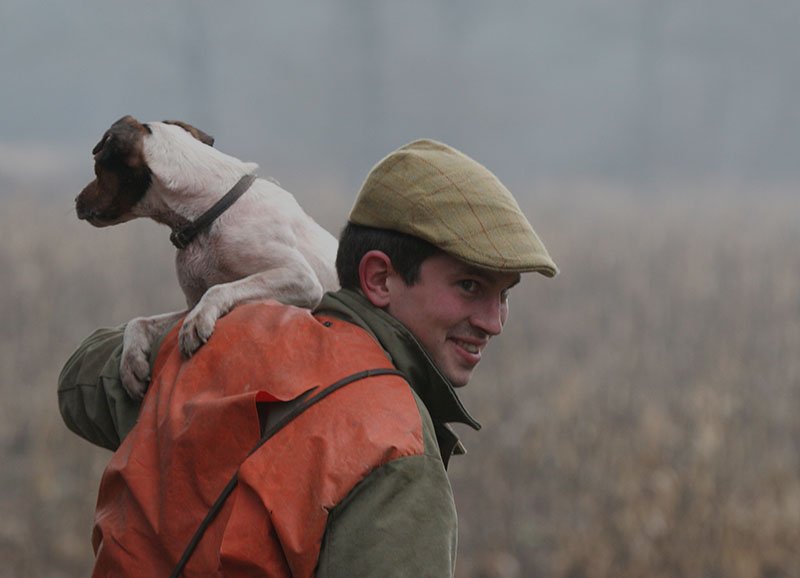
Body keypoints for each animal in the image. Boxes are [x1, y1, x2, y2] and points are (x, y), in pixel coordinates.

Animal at [73, 115, 340, 398]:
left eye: (98, 169)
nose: (76, 199)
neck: (207, 211)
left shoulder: (302, 279)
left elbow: (219, 288)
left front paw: (197, 322)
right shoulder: (191, 303)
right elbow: (140, 321)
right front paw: (130, 364)